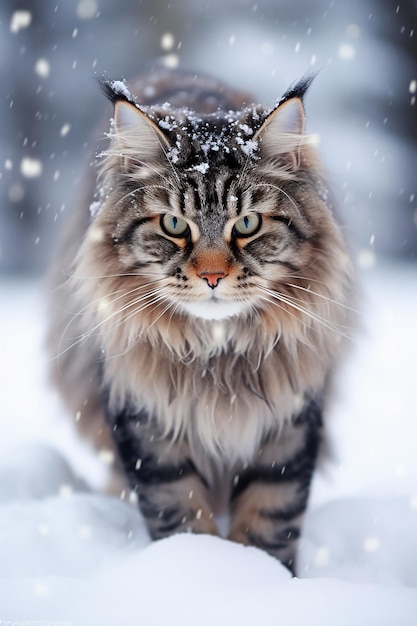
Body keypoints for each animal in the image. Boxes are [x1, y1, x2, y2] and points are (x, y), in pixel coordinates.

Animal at [48, 67, 354, 572]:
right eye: (174, 225)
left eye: (248, 224)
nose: (212, 276)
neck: (218, 355)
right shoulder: (146, 417)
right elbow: (178, 510)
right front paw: (199, 569)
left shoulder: (291, 415)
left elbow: (272, 516)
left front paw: (264, 575)